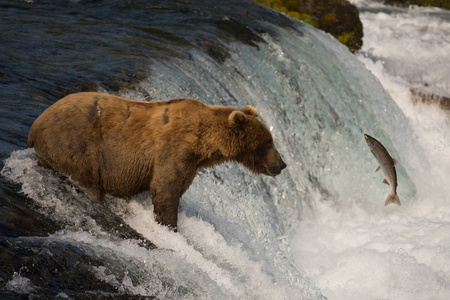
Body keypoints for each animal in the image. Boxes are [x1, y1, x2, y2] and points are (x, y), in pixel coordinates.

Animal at [28, 92, 286, 229]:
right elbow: (165, 189)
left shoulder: (191, 162)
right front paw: (170, 226)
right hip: (76, 147)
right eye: (269, 142)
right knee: (88, 182)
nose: (282, 164)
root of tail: (35, 125)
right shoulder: (174, 150)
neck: (204, 144)